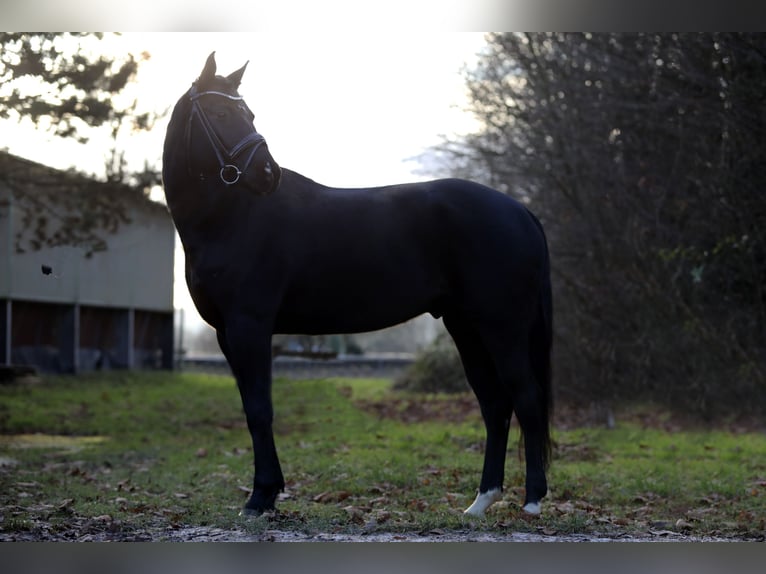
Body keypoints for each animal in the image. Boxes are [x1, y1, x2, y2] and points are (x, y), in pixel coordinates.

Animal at [164, 54, 552, 520]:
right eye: (221, 113)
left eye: (248, 114)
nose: (268, 174)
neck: (231, 217)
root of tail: (521, 210)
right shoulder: (227, 334)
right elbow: (251, 408)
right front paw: (267, 495)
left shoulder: (249, 327)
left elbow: (260, 409)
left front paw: (260, 498)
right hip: (466, 328)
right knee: (495, 405)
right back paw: (480, 502)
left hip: (501, 327)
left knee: (525, 398)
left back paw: (532, 502)